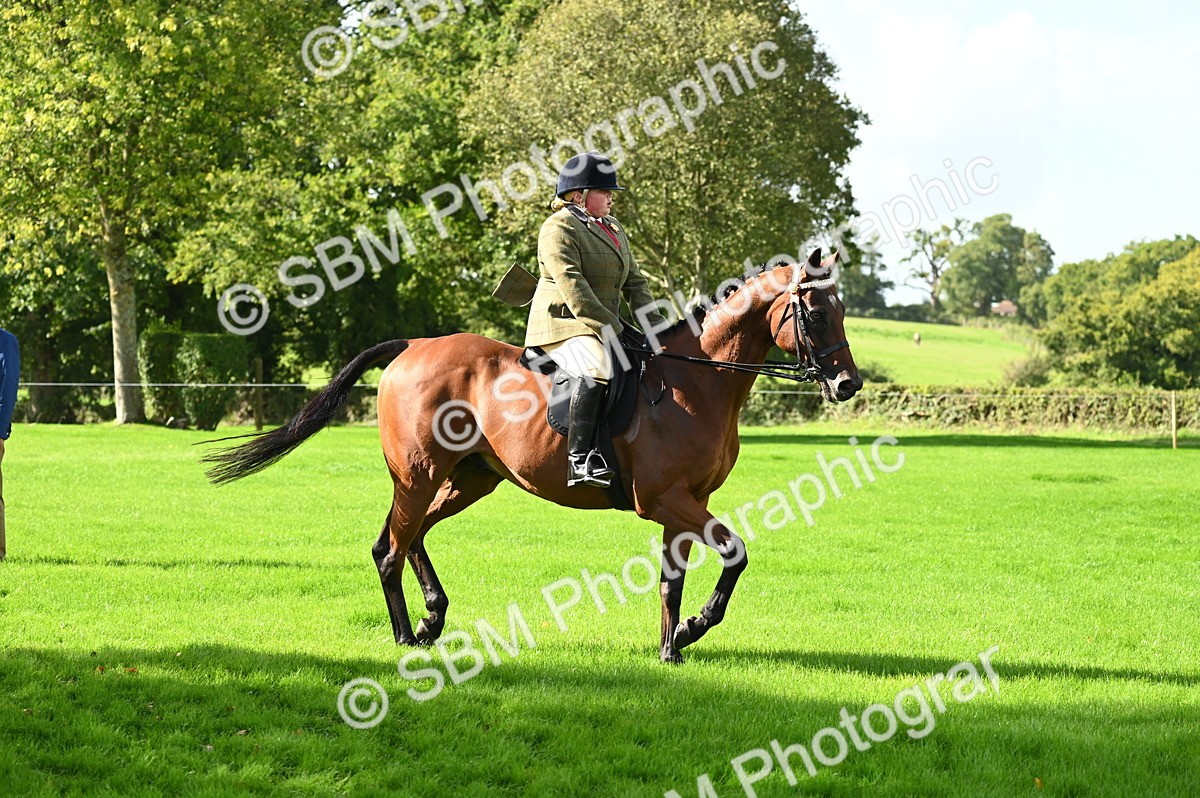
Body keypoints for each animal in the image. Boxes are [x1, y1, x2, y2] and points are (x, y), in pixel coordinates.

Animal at [203, 249, 862, 663]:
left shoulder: (685, 503)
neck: (694, 381)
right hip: (418, 473)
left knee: (411, 535)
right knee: (390, 546)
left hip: (468, 480)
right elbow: (735, 552)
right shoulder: (666, 500)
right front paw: (696, 628)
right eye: (816, 311)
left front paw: (673, 645)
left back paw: (432, 620)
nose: (848, 385)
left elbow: (671, 582)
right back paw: (405, 636)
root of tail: (414, 346)